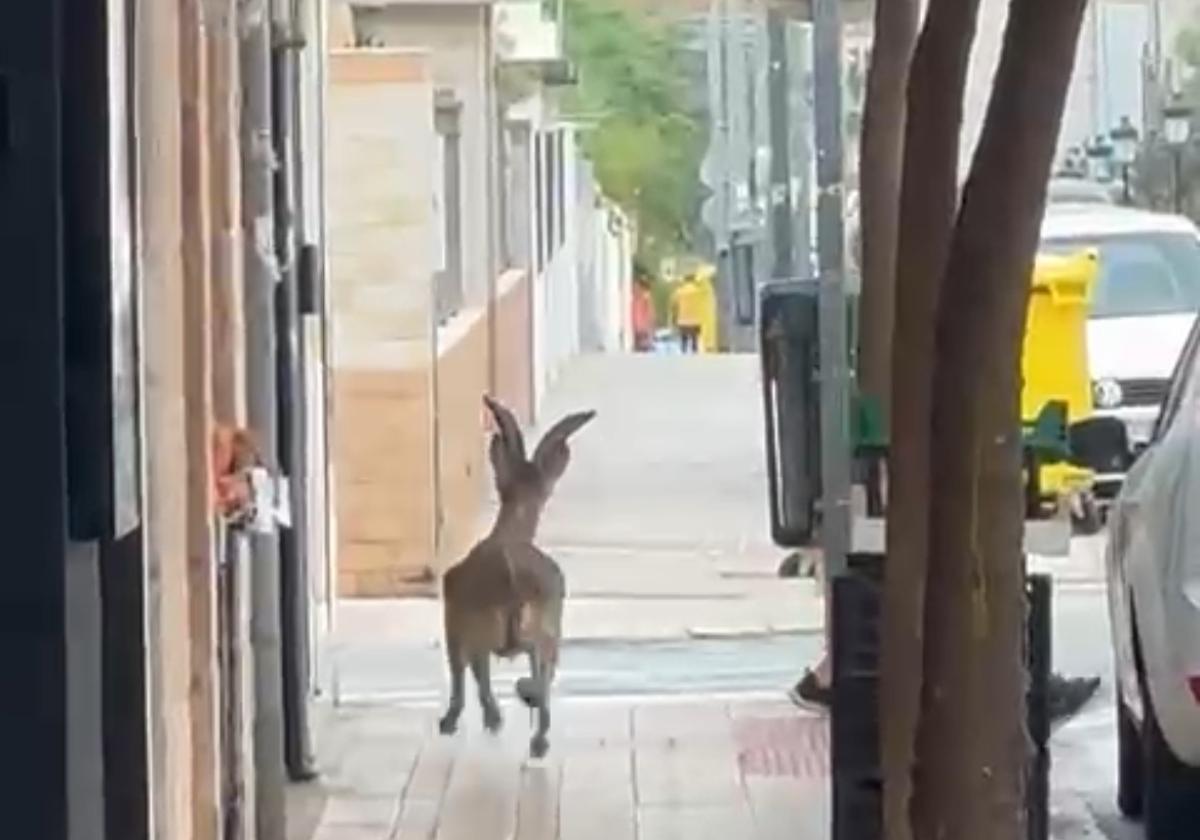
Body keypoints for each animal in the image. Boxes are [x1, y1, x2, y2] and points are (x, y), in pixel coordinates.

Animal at [436, 396, 595, 758]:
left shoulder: (454, 618)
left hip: (489, 626)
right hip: (548, 625)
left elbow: (461, 671)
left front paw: (458, 721)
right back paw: (537, 733)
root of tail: (510, 581)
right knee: (543, 669)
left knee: (488, 666)